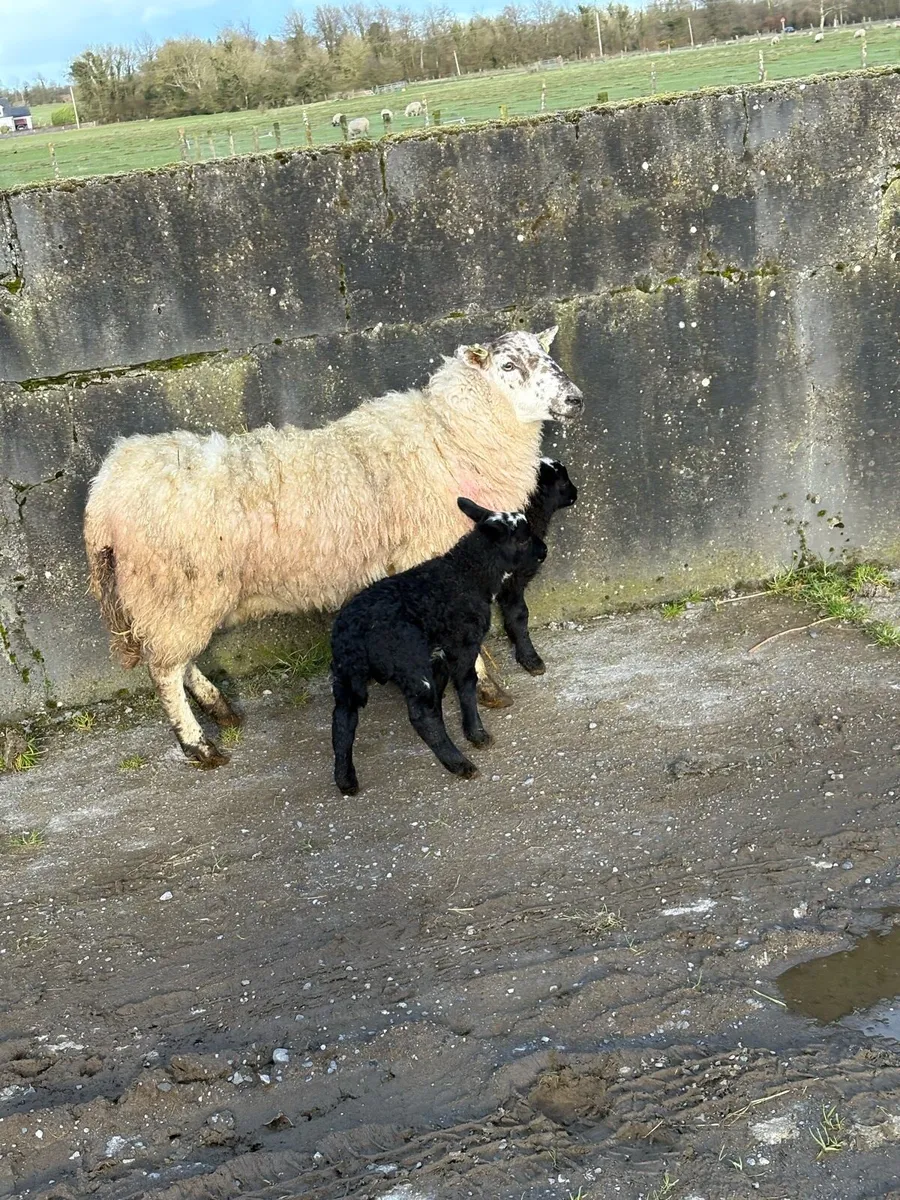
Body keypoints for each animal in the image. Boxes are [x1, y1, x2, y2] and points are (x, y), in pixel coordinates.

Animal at [330, 498, 548, 794]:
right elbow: (466, 684)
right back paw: (459, 764)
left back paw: (346, 779)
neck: (467, 572)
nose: (544, 551)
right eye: (523, 539)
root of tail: (355, 633)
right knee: (421, 716)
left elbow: (443, 691)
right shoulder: (464, 642)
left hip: (346, 670)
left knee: (343, 718)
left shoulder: (440, 655)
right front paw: (476, 734)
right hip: (409, 661)